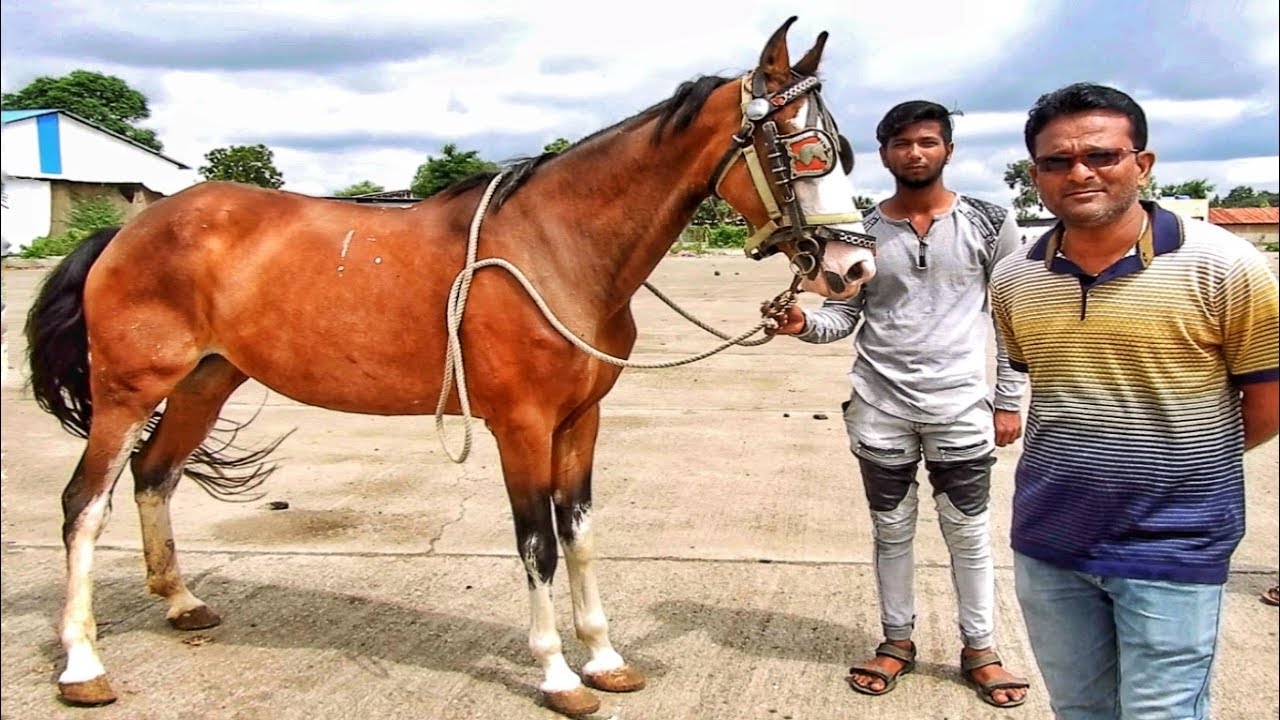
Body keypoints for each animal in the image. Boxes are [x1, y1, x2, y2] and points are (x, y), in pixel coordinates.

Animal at [24, 17, 877, 716]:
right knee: (83, 506)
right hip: (127, 392)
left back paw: (180, 603)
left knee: (155, 476)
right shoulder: (521, 425)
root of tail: (130, 229)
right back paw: (83, 666)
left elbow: (580, 534)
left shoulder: (581, 420)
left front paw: (604, 660)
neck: (554, 248)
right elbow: (536, 541)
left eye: (844, 149)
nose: (853, 268)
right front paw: (558, 676)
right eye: (806, 150)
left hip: (206, 382)